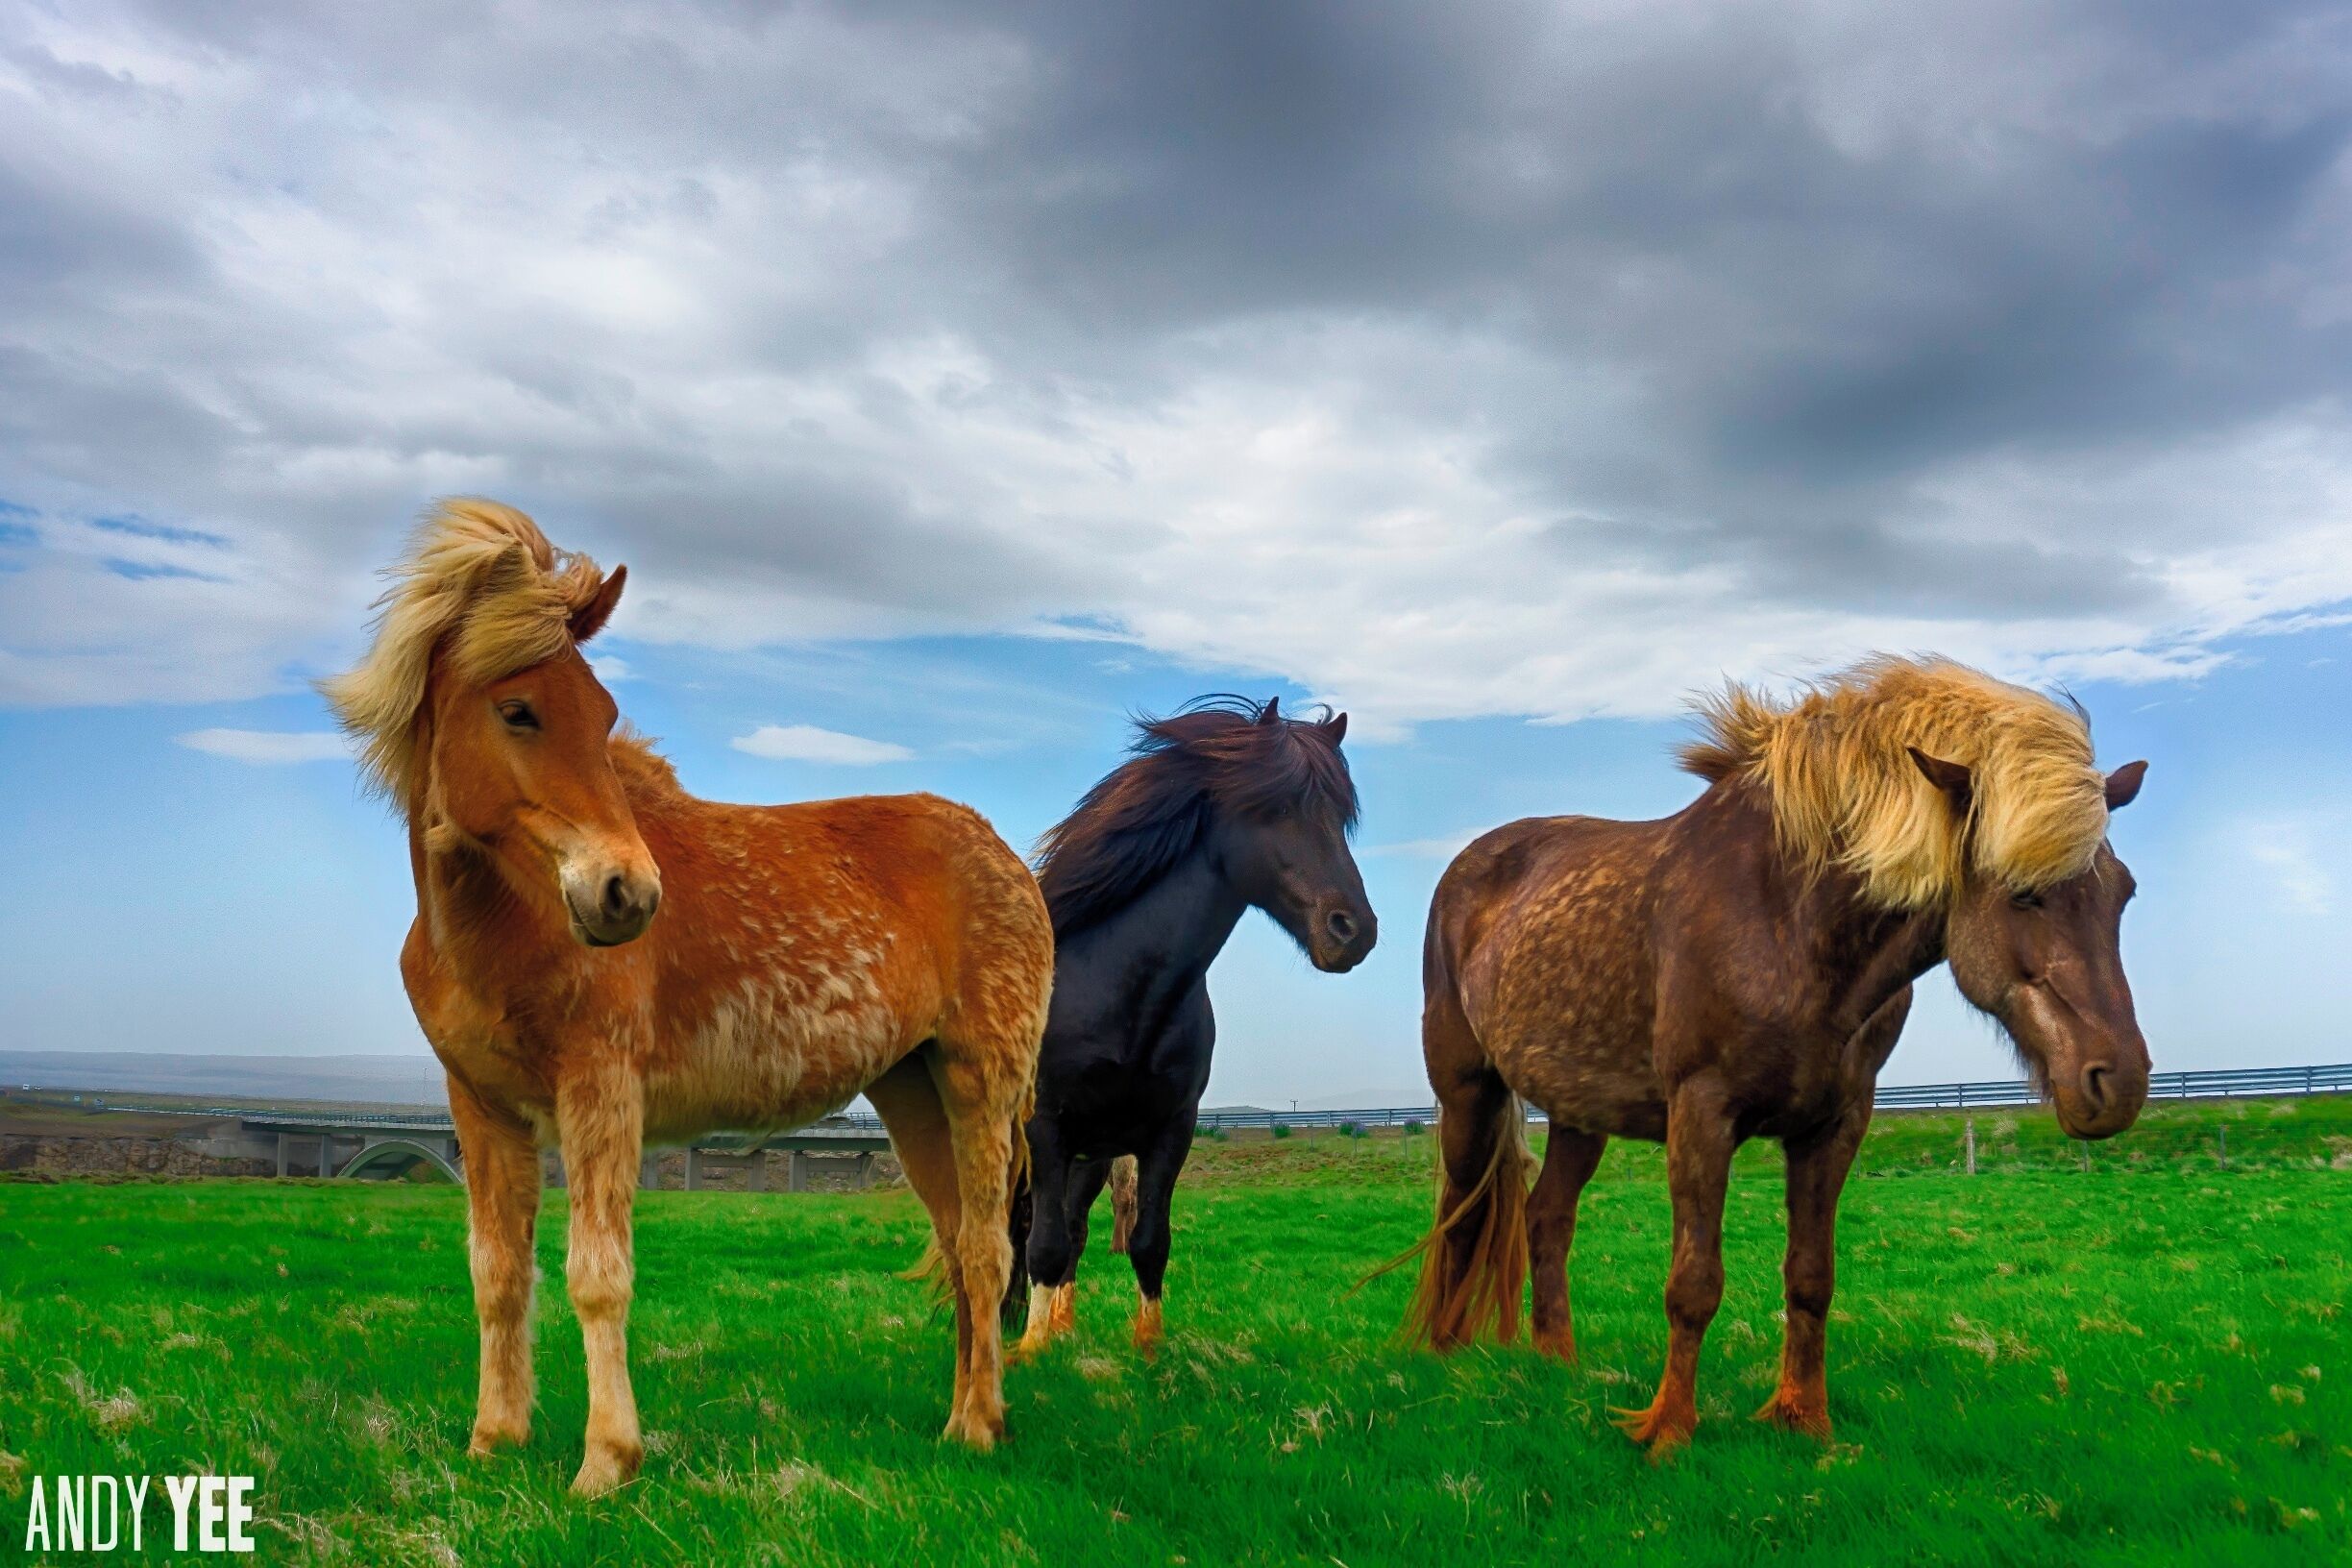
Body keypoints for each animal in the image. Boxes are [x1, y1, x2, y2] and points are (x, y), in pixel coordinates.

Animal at [322, 500, 1053, 1496]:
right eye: (518, 709)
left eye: (603, 715)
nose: (625, 894)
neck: (504, 921)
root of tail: (1002, 853)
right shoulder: (481, 1108)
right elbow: (499, 1274)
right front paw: (494, 1441)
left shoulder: (599, 1094)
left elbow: (597, 1275)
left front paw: (606, 1460)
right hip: (911, 1091)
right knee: (958, 1246)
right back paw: (964, 1419)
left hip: (982, 1082)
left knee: (986, 1250)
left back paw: (978, 1429)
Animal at [1012, 697, 1376, 1357]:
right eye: (1277, 807)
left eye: (1341, 817)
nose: (1353, 931)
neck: (1122, 994)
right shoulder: (1045, 1127)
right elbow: (1042, 1245)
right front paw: (1027, 1356)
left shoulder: (1170, 1130)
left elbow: (1148, 1242)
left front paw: (1148, 1349)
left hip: (1094, 1155)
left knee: (1076, 1227)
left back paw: (1064, 1327)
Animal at [1395, 656, 2150, 1455]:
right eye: (2023, 895)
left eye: (2123, 894)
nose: (2118, 1082)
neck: (1788, 917)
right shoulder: (1702, 1113)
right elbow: (1693, 1285)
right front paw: (1668, 1429)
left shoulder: (1834, 1124)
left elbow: (1811, 1278)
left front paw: (1804, 1420)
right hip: (1468, 1094)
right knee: (1463, 1216)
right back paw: (1444, 1359)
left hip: (1579, 1113)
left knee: (1547, 1218)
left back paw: (1557, 1363)